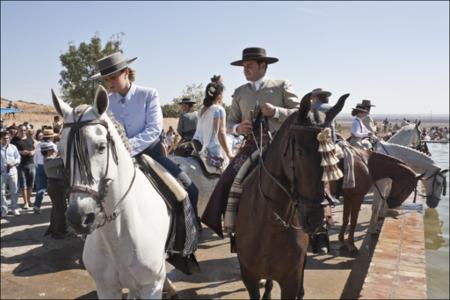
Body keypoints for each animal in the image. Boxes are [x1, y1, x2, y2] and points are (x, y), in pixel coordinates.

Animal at [53, 86, 170, 298]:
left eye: (101, 147)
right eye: (60, 150)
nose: (79, 218)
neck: (116, 236)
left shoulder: (152, 286)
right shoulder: (106, 288)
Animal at [234, 92, 350, 298]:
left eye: (331, 156)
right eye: (299, 151)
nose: (316, 219)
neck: (269, 225)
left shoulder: (290, 279)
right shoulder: (249, 276)